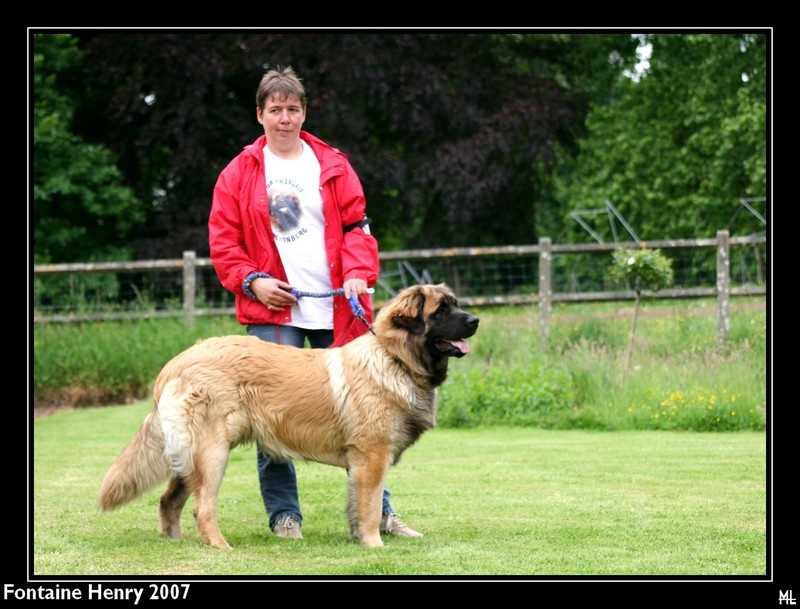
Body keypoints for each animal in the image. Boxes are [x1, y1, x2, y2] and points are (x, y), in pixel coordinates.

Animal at [97, 284, 478, 548]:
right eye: (441, 310)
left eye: (456, 304)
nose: (475, 320)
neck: (394, 358)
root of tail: (176, 362)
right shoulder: (372, 457)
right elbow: (369, 507)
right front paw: (374, 543)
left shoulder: (360, 463)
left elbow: (359, 505)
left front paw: (362, 537)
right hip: (212, 452)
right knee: (202, 507)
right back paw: (220, 546)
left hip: (188, 454)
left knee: (169, 499)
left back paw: (175, 541)